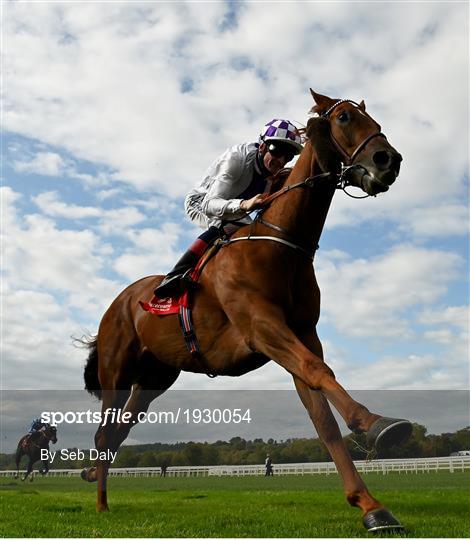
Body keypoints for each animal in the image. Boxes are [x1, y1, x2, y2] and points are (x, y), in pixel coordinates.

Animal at [82, 89, 410, 532]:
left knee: (119, 433)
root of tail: (119, 303)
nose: (388, 160)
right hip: (115, 374)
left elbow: (322, 416)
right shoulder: (262, 328)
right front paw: (378, 425)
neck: (281, 246)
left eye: (374, 120)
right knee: (104, 435)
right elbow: (319, 372)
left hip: (154, 378)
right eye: (343, 117)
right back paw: (100, 506)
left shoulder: (302, 335)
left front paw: (370, 505)